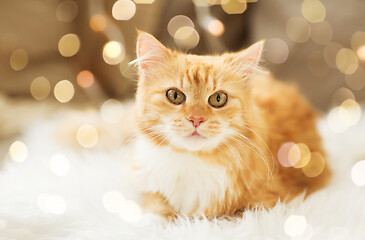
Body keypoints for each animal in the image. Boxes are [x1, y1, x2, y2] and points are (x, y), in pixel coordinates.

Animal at [130, 31, 330, 218]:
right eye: (175, 95)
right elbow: (157, 209)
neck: (194, 162)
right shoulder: (154, 191)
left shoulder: (263, 203)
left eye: (218, 99)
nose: (196, 119)